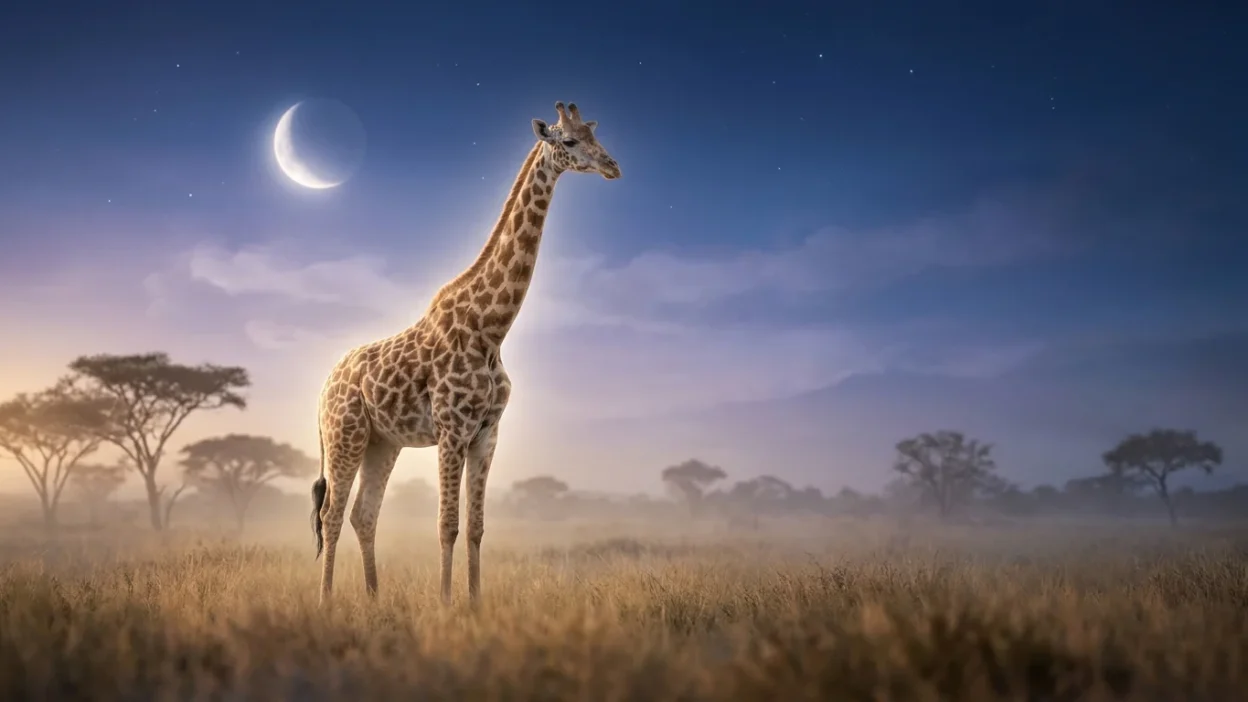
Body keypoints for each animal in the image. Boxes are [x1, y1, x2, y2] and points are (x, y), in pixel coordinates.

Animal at [310, 101, 621, 606]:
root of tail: (322, 389)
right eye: (570, 141)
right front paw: (445, 603)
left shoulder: (487, 433)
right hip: (345, 434)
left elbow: (475, 527)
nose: (613, 166)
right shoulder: (452, 429)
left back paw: (374, 600)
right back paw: (326, 602)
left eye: (596, 136)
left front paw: (475, 604)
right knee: (332, 515)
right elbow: (447, 525)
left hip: (383, 442)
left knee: (363, 514)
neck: (490, 330)